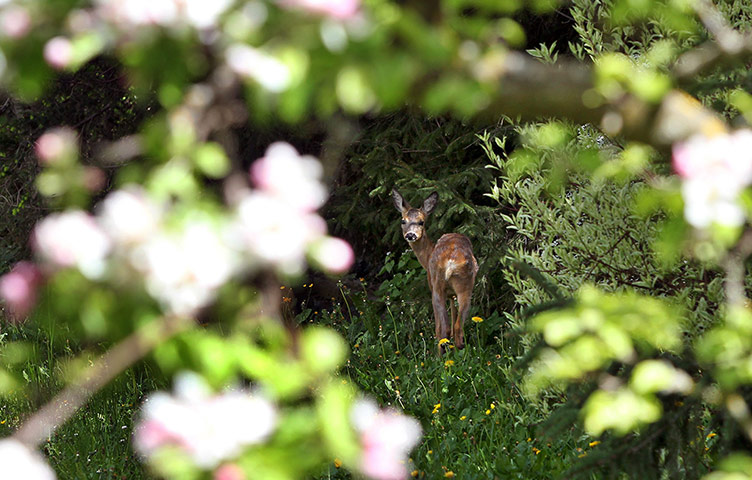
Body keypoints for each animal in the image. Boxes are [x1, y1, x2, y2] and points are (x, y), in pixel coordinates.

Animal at [392, 189, 479, 354]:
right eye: (403, 221)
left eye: (421, 222)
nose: (410, 235)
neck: (427, 257)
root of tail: (452, 262)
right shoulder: (452, 295)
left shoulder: (432, 285)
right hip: (466, 286)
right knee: (458, 327)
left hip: (437, 286)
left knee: (443, 329)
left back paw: (439, 356)